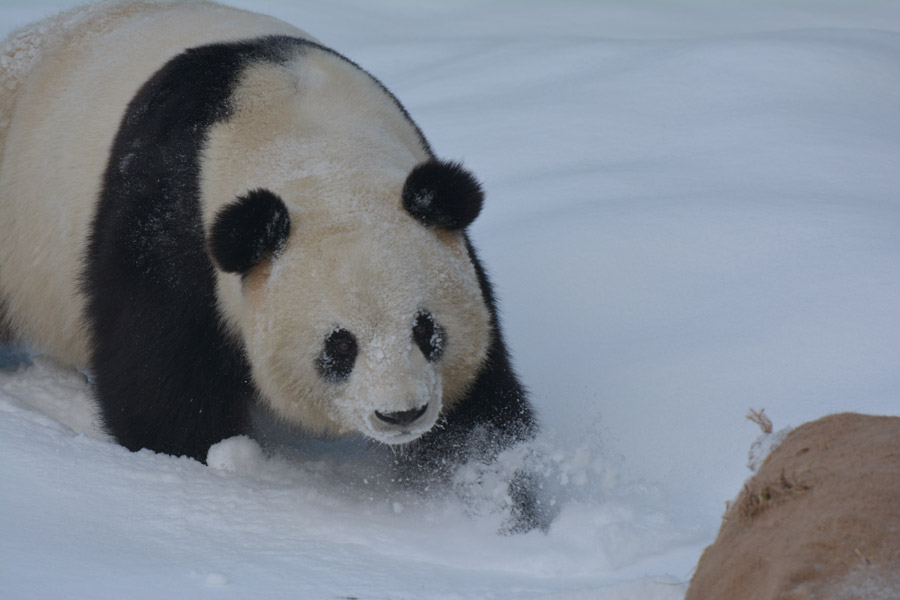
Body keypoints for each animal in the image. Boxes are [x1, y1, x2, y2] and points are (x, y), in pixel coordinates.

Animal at [0, 1, 540, 528]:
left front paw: (492, 499)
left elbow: (481, 407)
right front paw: (202, 464)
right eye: (339, 346)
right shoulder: (170, 224)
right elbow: (159, 380)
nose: (402, 414)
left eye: (427, 330)